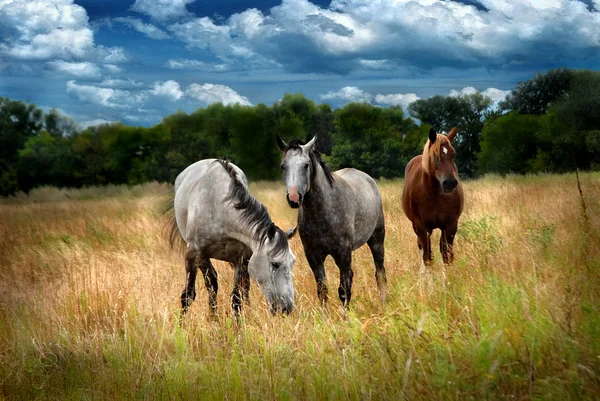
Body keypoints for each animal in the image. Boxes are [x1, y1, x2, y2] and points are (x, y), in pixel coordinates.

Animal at [166, 159, 298, 316]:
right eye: (275, 263)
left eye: (292, 262)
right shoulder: (194, 254)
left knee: (244, 289)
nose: (287, 308)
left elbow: (236, 298)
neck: (219, 209)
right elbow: (188, 295)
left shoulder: (241, 258)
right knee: (211, 284)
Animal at [278, 135, 386, 306]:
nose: (294, 198)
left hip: (376, 240)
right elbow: (322, 291)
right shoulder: (313, 256)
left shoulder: (343, 253)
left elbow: (343, 291)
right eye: (283, 166)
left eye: (306, 165)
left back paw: (383, 302)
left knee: (380, 273)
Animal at [404, 128, 464, 264]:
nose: (450, 183)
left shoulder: (450, 225)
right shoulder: (421, 227)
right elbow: (427, 256)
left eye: (453, 154)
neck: (435, 194)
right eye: (435, 156)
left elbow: (447, 254)